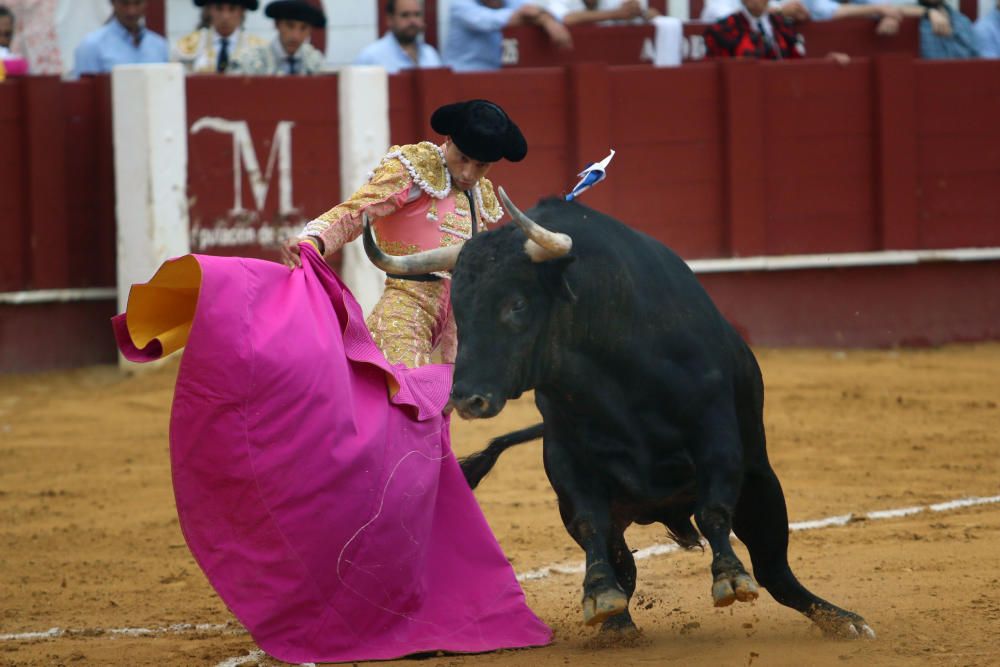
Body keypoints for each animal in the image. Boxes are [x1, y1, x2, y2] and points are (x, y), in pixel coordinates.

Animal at [364, 190, 872, 640]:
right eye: (461, 310)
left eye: (517, 304)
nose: (467, 398)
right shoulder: (566, 457)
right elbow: (591, 524)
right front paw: (600, 597)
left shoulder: (717, 433)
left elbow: (713, 510)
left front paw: (729, 577)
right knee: (624, 562)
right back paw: (618, 623)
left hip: (762, 484)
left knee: (773, 569)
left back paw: (843, 621)